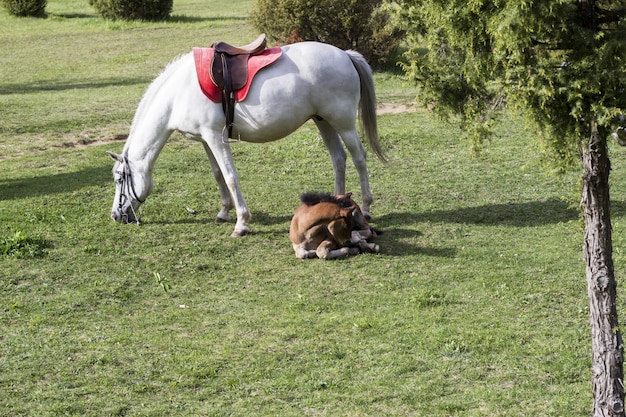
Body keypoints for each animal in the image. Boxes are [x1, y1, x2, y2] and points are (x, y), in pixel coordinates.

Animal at [107, 40, 382, 236]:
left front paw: (241, 222)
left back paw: (367, 207)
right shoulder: (205, 139)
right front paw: (223, 212)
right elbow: (218, 175)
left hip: (343, 123)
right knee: (339, 158)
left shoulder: (215, 137)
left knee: (359, 158)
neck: (178, 94)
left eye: (120, 178)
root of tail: (345, 55)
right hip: (323, 121)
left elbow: (230, 176)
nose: (115, 216)